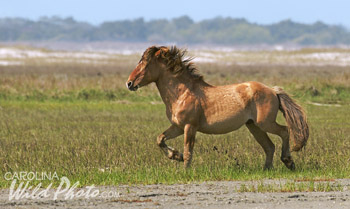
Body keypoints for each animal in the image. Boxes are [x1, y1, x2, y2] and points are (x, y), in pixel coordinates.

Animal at [126, 45, 308, 170]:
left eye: (145, 63)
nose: (129, 83)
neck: (182, 93)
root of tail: (273, 90)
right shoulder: (178, 126)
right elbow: (160, 139)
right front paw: (175, 155)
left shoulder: (190, 127)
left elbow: (188, 151)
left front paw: (184, 170)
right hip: (254, 126)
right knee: (269, 146)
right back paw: (267, 169)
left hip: (265, 123)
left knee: (285, 131)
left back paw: (288, 161)